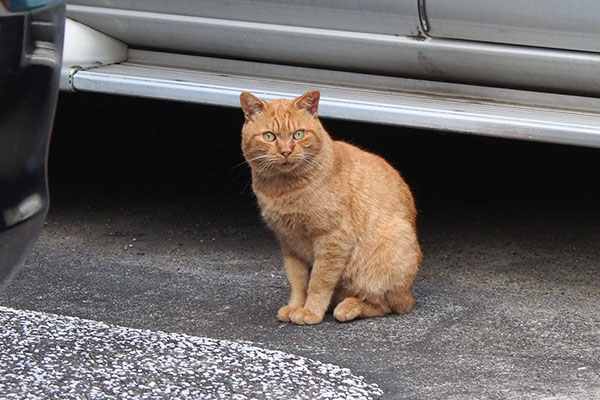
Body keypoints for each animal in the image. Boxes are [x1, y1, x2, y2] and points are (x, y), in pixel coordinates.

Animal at [239, 90, 422, 324]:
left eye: (298, 134)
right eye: (269, 136)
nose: (286, 151)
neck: (283, 189)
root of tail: (409, 292)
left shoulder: (333, 239)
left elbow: (319, 281)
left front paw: (310, 311)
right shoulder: (289, 243)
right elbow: (297, 281)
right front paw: (295, 306)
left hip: (389, 251)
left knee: (386, 304)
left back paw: (348, 307)